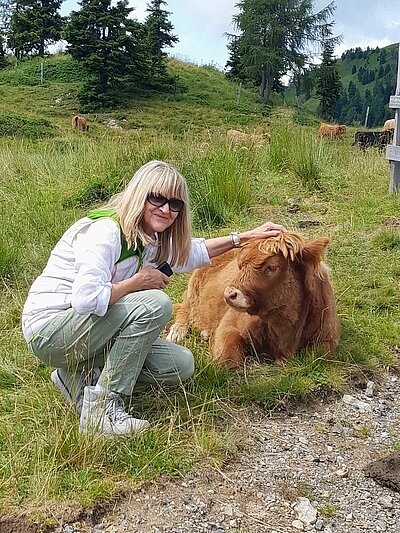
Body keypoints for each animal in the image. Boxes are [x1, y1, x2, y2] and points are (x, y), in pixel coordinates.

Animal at [167, 231, 340, 368]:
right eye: (241, 265)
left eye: (271, 267)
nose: (229, 294)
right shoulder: (228, 327)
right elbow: (228, 359)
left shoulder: (328, 339)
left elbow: (317, 354)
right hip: (193, 288)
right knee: (184, 308)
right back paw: (177, 332)